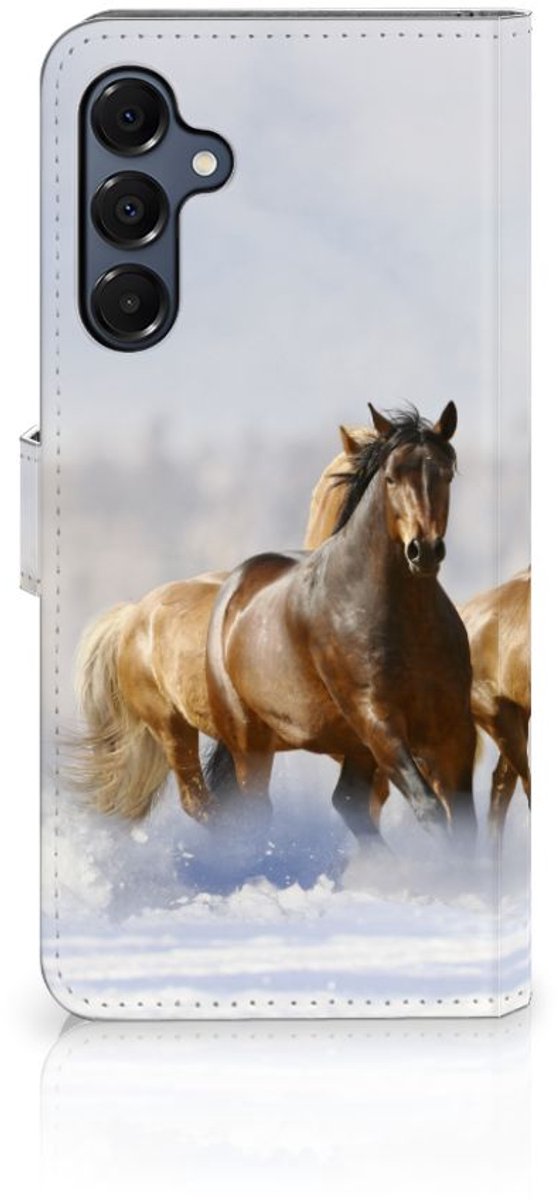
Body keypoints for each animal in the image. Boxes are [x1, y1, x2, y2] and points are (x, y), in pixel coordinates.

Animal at [205, 403, 477, 842]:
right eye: (391, 477)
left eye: (445, 474)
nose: (423, 550)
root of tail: (235, 586)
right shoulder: (378, 722)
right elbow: (429, 808)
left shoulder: (453, 728)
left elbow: (465, 823)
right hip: (251, 742)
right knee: (256, 812)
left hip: (352, 747)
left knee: (349, 802)